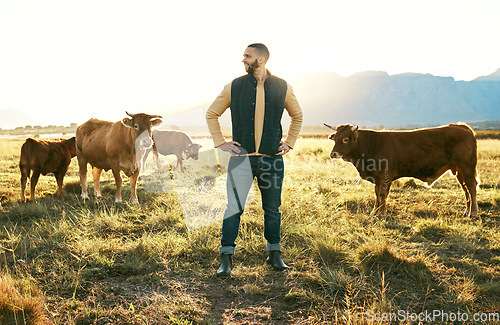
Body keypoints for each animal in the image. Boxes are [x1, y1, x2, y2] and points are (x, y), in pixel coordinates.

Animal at [326, 121, 478, 215]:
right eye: (335, 138)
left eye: (345, 139)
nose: (333, 154)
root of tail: (462, 126)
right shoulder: (377, 177)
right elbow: (377, 194)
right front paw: (374, 211)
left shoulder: (385, 175)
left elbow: (382, 194)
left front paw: (381, 213)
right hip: (459, 170)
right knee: (465, 188)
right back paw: (467, 211)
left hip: (467, 167)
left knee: (471, 187)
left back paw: (474, 213)